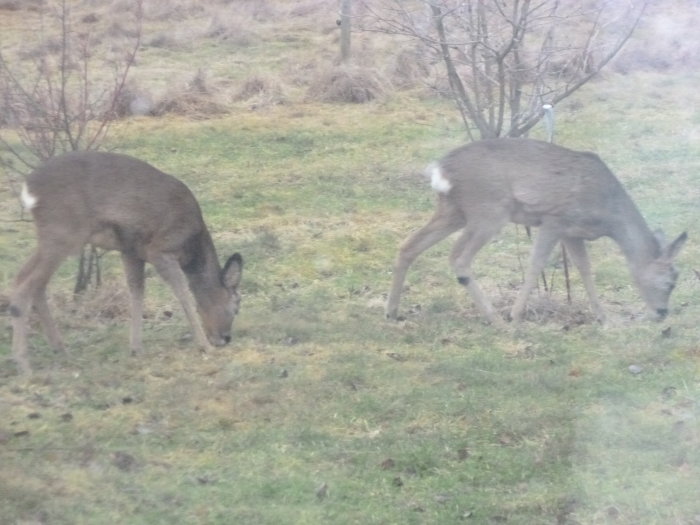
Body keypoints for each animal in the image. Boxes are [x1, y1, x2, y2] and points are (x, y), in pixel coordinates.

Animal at [6, 149, 243, 374]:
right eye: (236, 306)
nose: (225, 338)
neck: (191, 248)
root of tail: (28, 187)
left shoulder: (131, 251)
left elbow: (136, 291)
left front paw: (136, 348)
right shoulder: (161, 249)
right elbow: (183, 292)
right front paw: (204, 346)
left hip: (56, 237)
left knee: (31, 281)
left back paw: (60, 349)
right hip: (64, 231)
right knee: (26, 283)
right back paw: (23, 362)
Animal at [388, 139, 688, 326]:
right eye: (670, 281)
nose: (662, 313)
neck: (608, 214)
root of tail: (441, 168)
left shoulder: (572, 232)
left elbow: (584, 269)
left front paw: (604, 318)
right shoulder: (554, 219)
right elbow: (536, 265)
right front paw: (515, 314)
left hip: (453, 210)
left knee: (408, 245)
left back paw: (391, 312)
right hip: (489, 210)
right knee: (458, 258)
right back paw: (496, 319)